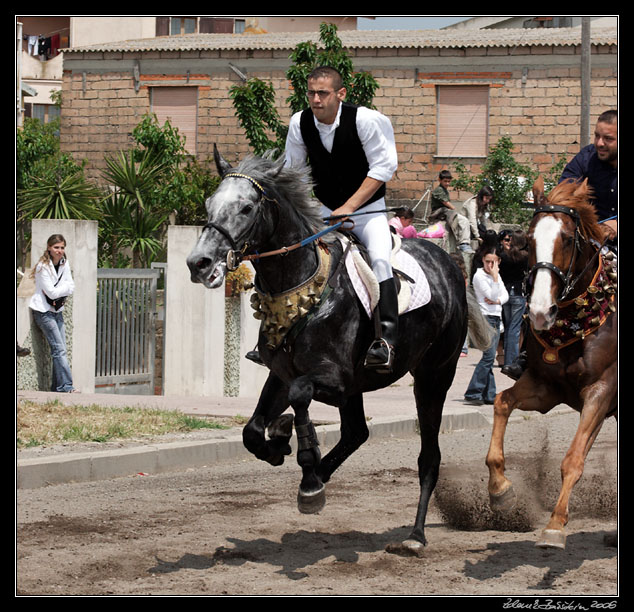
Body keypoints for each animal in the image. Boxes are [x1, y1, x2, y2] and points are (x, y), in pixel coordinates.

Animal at [484, 177, 612, 548]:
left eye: (567, 238)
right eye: (528, 240)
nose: (541, 311)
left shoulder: (601, 391)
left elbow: (573, 460)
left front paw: (555, 525)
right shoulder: (546, 389)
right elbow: (502, 402)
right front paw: (500, 491)